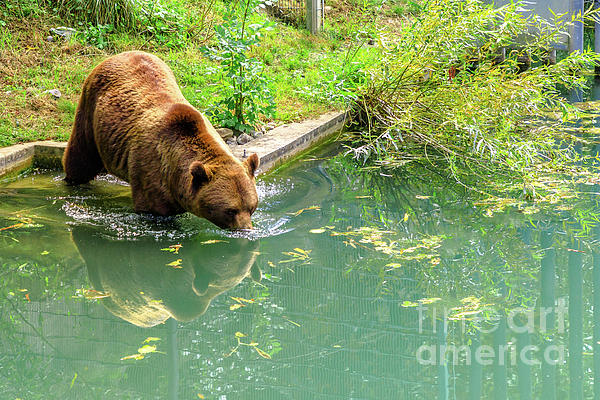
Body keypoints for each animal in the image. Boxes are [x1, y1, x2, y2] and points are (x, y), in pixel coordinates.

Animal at [64, 51, 258, 230]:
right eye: (230, 210)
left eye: (251, 207)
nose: (245, 229)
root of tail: (118, 54)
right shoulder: (151, 171)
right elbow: (154, 210)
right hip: (90, 109)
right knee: (81, 157)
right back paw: (74, 182)